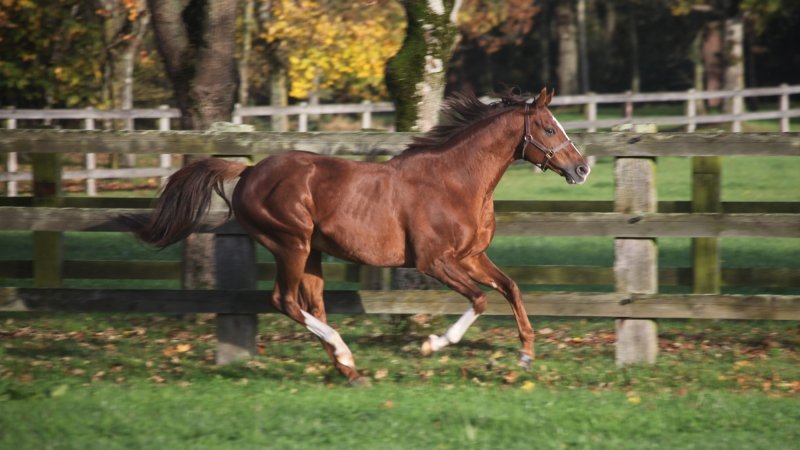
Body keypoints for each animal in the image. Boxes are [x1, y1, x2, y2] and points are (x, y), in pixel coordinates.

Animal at [122, 87, 590, 385]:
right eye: (549, 128)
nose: (582, 168)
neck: (456, 182)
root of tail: (249, 170)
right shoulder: (434, 261)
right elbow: (478, 299)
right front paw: (432, 344)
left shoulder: (472, 256)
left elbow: (510, 288)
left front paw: (526, 356)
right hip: (290, 244)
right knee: (285, 301)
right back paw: (345, 355)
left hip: (311, 253)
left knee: (312, 305)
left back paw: (348, 369)